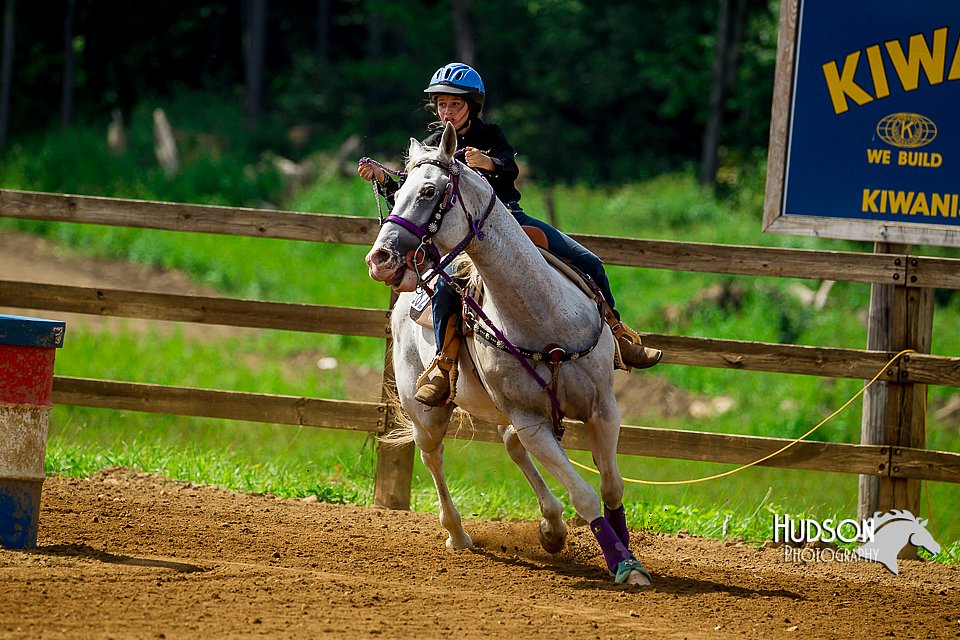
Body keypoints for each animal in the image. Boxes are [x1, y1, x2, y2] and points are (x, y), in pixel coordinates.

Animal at [364, 121, 648, 584]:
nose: (380, 259)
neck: (544, 315)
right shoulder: (532, 422)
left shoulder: (604, 408)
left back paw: (552, 526)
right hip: (425, 413)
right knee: (433, 457)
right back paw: (458, 533)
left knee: (511, 447)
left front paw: (626, 554)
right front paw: (622, 563)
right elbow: (586, 495)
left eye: (428, 191)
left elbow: (611, 486)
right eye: (398, 188)